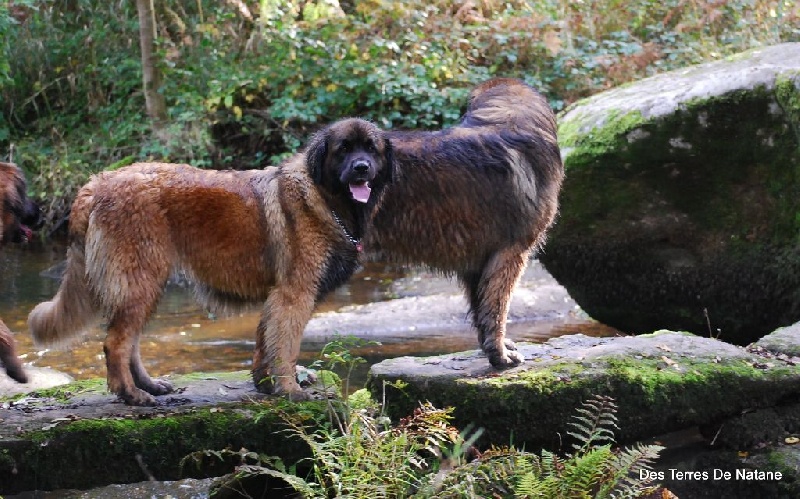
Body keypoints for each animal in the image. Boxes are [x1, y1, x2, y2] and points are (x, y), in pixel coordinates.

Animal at [28, 120, 394, 406]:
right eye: (344, 149)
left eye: (371, 149)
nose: (361, 167)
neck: (322, 197)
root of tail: (97, 183)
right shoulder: (294, 294)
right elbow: (286, 349)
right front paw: (290, 389)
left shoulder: (277, 297)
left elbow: (264, 342)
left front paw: (264, 385)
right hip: (140, 280)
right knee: (116, 343)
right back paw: (132, 395)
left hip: (145, 284)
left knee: (129, 341)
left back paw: (149, 386)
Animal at [368, 77, 564, 368]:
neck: (507, 121)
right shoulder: (511, 252)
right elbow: (497, 309)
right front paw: (500, 354)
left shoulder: (478, 262)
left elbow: (481, 310)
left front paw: (493, 348)